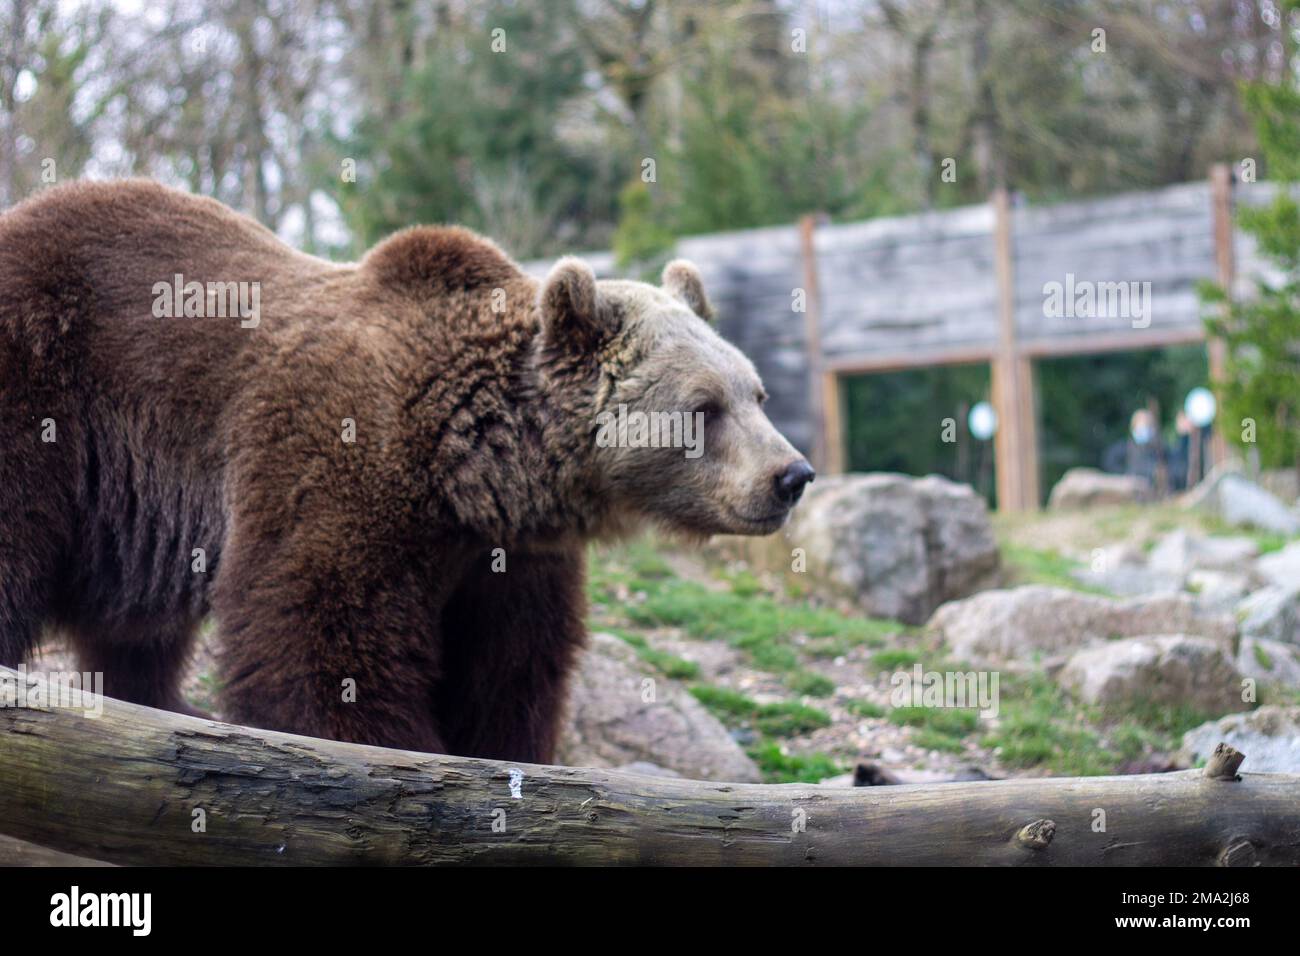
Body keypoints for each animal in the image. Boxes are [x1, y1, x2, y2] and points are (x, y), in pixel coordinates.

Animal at [0, 178, 811, 764]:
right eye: (704, 407)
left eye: (757, 393)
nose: (792, 475)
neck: (472, 463)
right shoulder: (341, 464)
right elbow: (325, 643)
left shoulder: (508, 558)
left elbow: (507, 674)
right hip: (43, 391)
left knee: (135, 626)